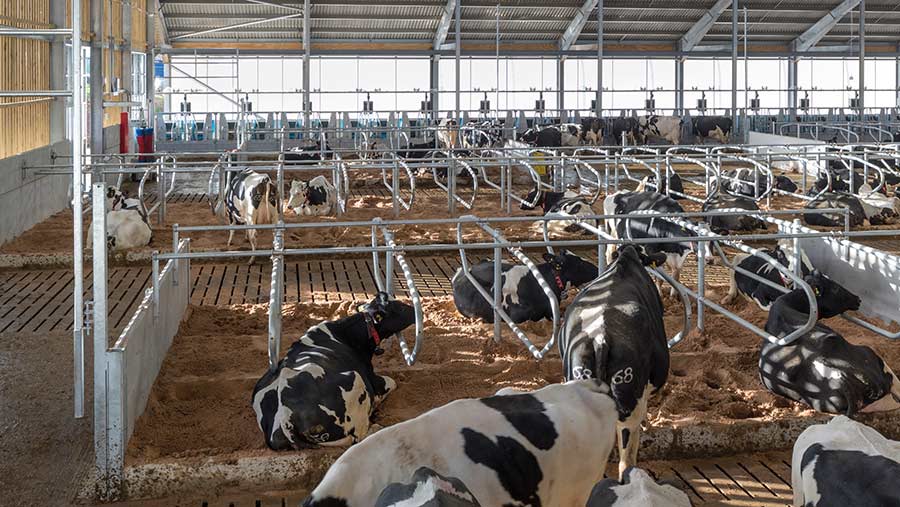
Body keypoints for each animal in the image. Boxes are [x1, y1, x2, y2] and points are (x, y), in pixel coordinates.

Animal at [251, 292, 416, 450]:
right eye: (400, 307)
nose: (415, 310)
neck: (347, 334)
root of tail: (286, 416)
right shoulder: (373, 380)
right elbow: (392, 382)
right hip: (356, 380)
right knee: (359, 435)